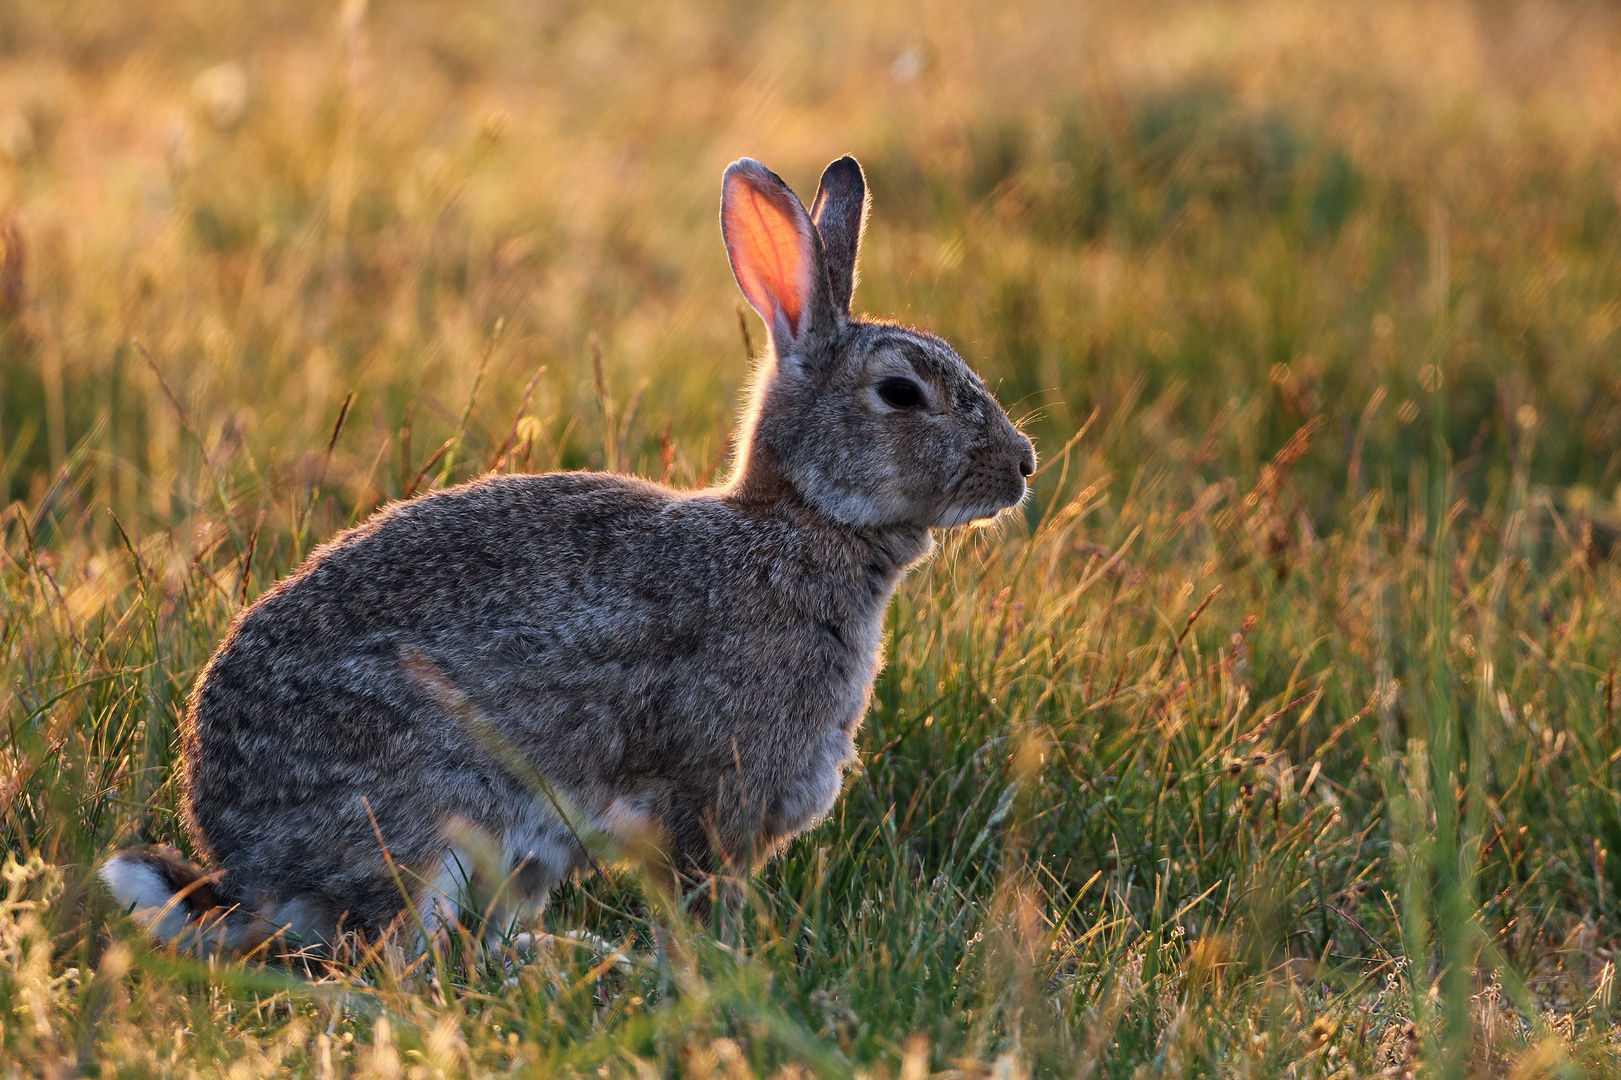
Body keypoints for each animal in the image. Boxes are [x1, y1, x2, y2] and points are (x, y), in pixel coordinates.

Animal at [104, 153, 1037, 953]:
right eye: (900, 393)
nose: (1023, 465)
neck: (801, 522)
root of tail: (247, 870)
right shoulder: (710, 801)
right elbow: (700, 904)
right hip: (428, 827)